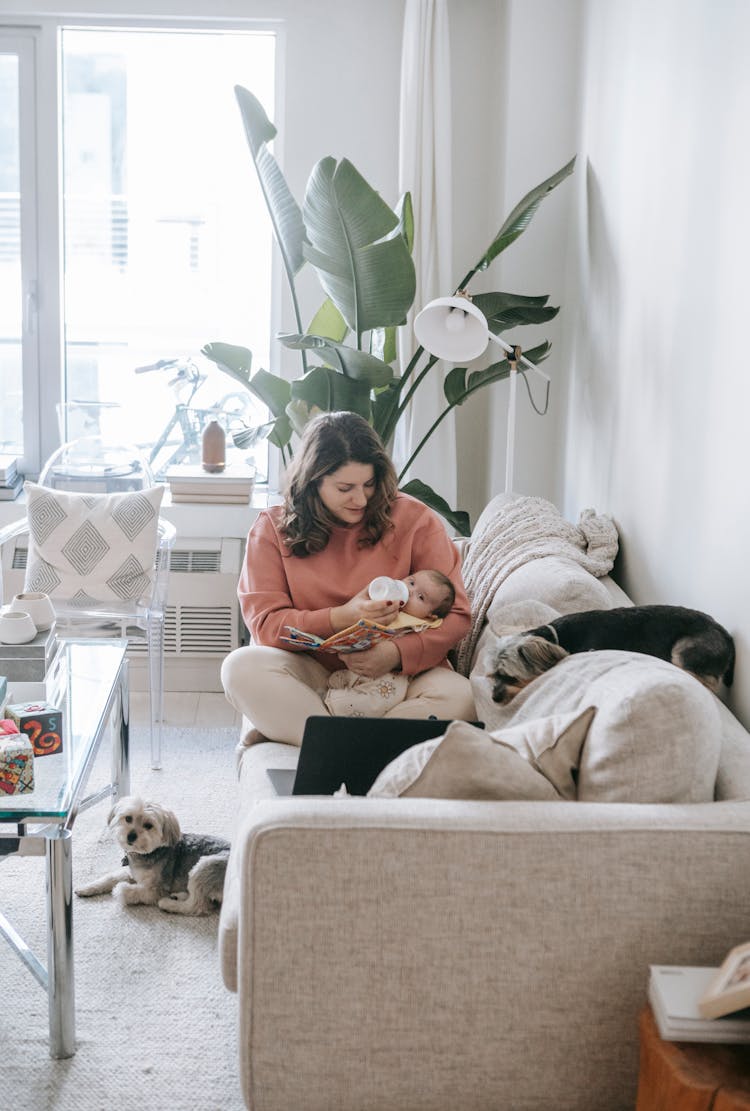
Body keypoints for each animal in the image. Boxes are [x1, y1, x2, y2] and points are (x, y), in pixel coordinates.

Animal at [76, 795, 230, 915]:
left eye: (148, 825)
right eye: (128, 818)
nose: (131, 836)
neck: (148, 853)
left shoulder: (156, 889)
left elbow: (124, 890)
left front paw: (120, 889)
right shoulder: (132, 872)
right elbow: (110, 877)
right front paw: (86, 888)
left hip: (205, 866)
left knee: (197, 905)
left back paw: (169, 904)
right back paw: (179, 896)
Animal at [488, 608, 737, 702]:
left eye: (510, 676)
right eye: (492, 675)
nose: (494, 698)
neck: (556, 638)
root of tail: (725, 633)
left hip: (685, 651)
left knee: (708, 684)